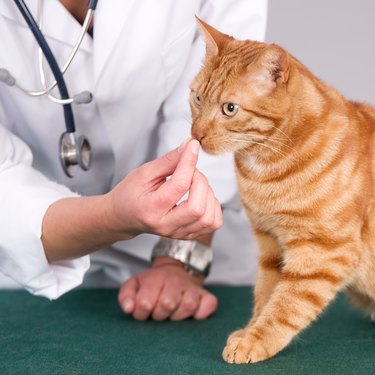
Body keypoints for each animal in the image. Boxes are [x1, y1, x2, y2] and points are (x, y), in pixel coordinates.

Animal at [192, 18, 375, 364]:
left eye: (230, 108)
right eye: (196, 99)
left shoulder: (323, 252)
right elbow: (267, 294)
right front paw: (250, 330)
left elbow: (287, 304)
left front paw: (255, 340)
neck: (265, 172)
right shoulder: (271, 244)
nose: (195, 135)